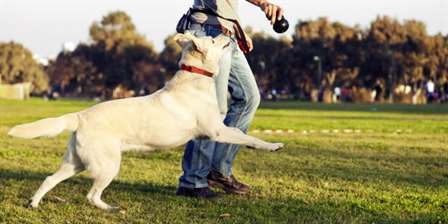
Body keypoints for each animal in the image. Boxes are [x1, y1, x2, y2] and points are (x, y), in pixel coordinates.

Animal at [8, 32, 284, 210]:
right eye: (214, 39)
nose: (228, 34)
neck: (194, 78)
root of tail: (80, 116)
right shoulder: (217, 131)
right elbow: (247, 136)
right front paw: (273, 146)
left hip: (74, 163)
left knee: (50, 179)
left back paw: (34, 203)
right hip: (108, 165)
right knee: (91, 195)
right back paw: (110, 208)